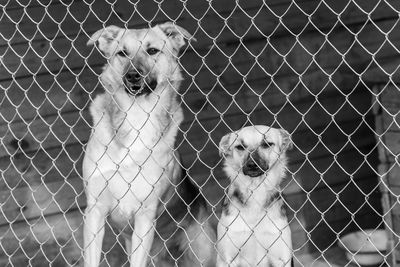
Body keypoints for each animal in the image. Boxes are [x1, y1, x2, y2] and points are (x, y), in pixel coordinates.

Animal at [82, 23, 216, 267]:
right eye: (122, 53)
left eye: (152, 50)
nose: (132, 75)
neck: (136, 116)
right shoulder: (95, 210)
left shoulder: (145, 216)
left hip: (201, 249)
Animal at [217, 125, 292, 267]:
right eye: (240, 147)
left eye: (267, 144)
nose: (252, 165)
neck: (255, 190)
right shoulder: (227, 258)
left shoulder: (282, 257)